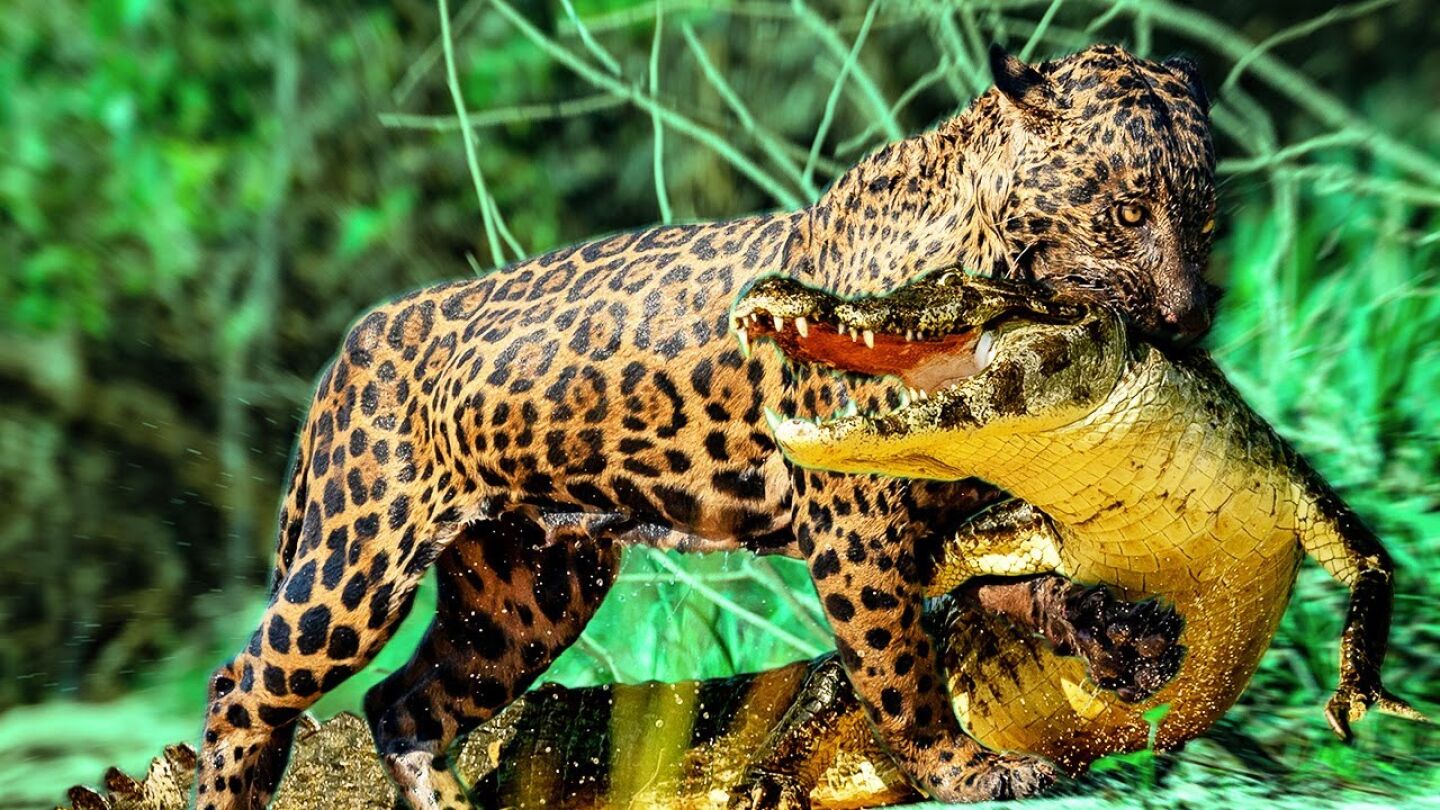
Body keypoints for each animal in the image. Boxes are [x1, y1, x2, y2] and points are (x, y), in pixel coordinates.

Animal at [196, 43, 1217, 810]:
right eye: (1129, 212)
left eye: (1205, 224)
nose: (1189, 317)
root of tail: (356, 339)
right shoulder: (858, 537)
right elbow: (902, 673)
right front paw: (965, 772)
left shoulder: (952, 515)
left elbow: (1023, 579)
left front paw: (1112, 630)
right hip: (359, 559)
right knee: (243, 687)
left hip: (525, 593)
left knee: (406, 707)